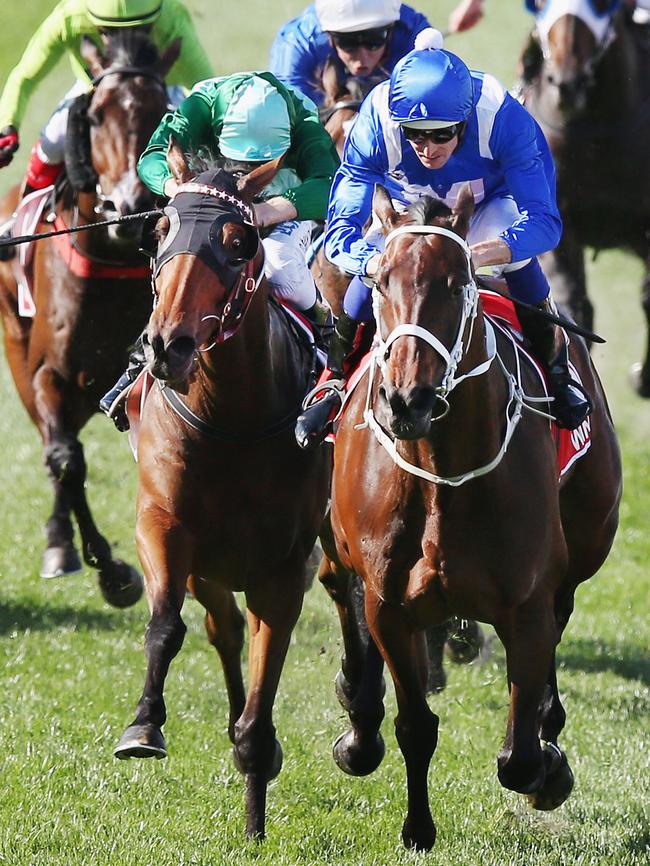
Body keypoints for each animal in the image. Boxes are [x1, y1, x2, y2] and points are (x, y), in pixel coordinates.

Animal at [0, 32, 177, 600]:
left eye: (160, 110)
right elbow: (64, 459)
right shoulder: (48, 373)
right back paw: (61, 542)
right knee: (54, 448)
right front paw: (114, 572)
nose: (128, 206)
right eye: (96, 117)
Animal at [114, 145, 330, 840]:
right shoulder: (164, 525)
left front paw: (257, 787)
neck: (231, 420)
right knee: (224, 628)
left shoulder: (284, 568)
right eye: (160, 231)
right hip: (210, 568)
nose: (168, 345)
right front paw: (144, 725)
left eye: (239, 244)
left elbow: (266, 690)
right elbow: (165, 626)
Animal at [316, 186, 620, 848]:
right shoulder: (391, 606)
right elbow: (415, 725)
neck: (443, 475)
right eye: (377, 280)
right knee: (338, 588)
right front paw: (416, 827)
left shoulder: (527, 606)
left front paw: (547, 769)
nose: (406, 400)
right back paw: (358, 721)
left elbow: (520, 757)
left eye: (456, 285)